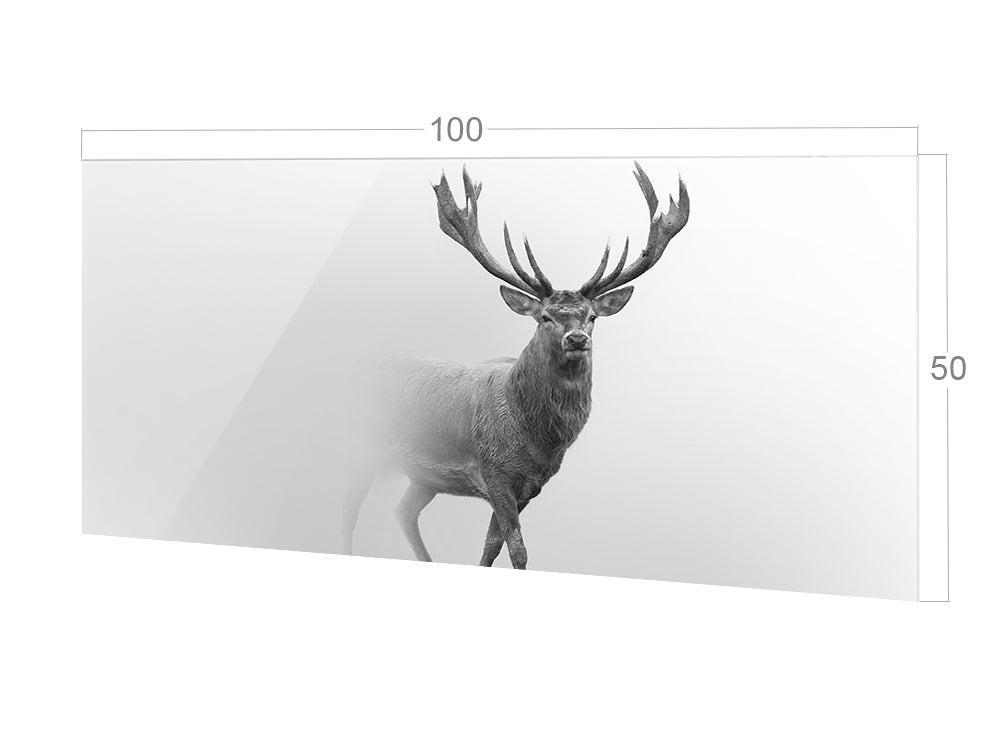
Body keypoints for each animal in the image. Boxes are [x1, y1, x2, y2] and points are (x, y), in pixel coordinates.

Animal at [341, 162, 689, 569]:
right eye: (545, 317)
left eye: (591, 317)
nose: (577, 339)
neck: (537, 438)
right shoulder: (494, 471)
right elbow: (517, 548)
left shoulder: (530, 485)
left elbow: (492, 545)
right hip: (360, 447)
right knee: (348, 510)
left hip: (424, 477)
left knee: (403, 511)